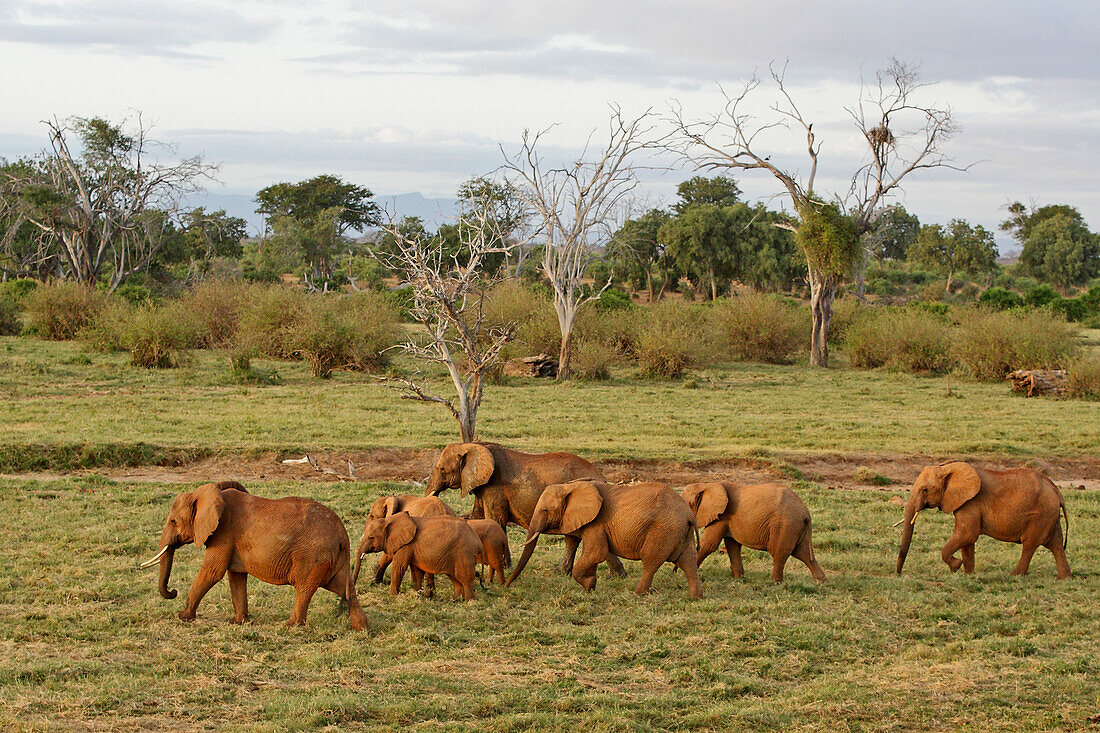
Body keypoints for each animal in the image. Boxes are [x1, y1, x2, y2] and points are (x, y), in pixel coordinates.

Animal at [424, 440, 624, 576]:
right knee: (573, 537)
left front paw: (502, 567)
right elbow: (478, 518)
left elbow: (495, 521)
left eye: (442, 469)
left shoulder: (495, 486)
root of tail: (603, 476)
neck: (474, 446)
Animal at [508, 479, 704, 594]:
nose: (506, 586)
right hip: (680, 532)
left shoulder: (596, 523)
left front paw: (590, 585)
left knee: (650, 561)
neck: (571, 486)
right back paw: (694, 597)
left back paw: (637, 593)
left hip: (662, 531)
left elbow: (596, 553)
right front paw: (591, 585)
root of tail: (689, 514)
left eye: (544, 510)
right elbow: (594, 555)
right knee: (688, 562)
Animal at [677, 479, 827, 581]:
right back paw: (821, 582)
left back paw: (774, 582)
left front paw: (681, 573)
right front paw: (739, 578)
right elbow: (732, 546)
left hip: (785, 525)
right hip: (796, 526)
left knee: (779, 552)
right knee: (803, 553)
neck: (708, 484)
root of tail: (805, 513)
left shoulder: (721, 516)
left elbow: (708, 545)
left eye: (689, 504)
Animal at [897, 462, 1069, 576]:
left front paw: (956, 566)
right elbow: (967, 540)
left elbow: (967, 534)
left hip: (1040, 515)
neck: (948, 468)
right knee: (1056, 544)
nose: (898, 573)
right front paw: (968, 574)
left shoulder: (971, 502)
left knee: (1029, 544)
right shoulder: (966, 502)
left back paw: (1014, 575)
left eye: (925, 490)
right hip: (1049, 515)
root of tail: (1056, 491)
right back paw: (1064, 578)